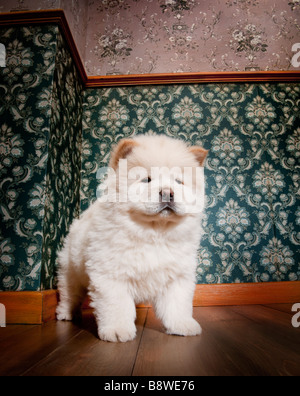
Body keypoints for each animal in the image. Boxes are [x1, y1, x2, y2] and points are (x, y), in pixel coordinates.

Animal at [58, 135, 209, 342]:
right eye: (147, 180)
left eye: (179, 182)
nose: (168, 192)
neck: (154, 232)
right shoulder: (111, 274)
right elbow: (117, 304)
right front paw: (117, 331)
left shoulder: (177, 275)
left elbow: (177, 305)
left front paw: (183, 325)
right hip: (71, 271)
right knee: (69, 294)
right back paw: (66, 313)